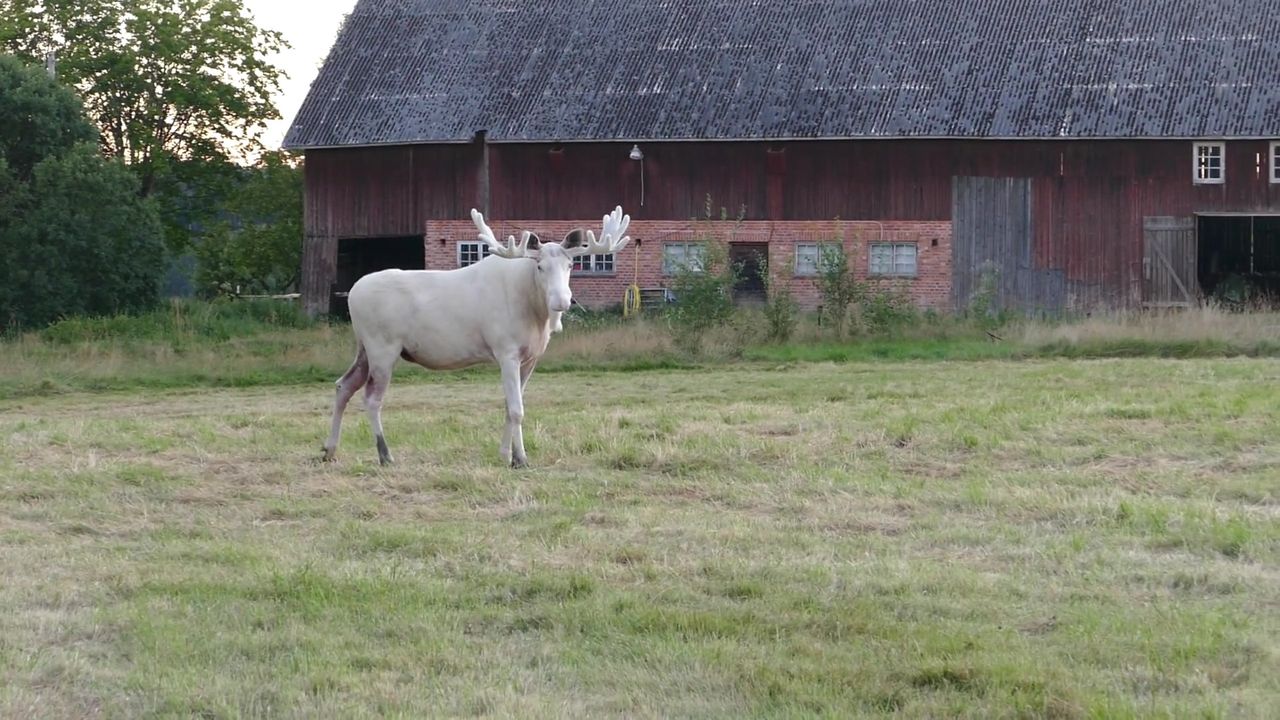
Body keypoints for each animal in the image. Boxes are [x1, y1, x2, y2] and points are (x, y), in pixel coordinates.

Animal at [322, 204, 632, 468]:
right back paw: (385, 455)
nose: (562, 301)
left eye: (570, 266)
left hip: (364, 348)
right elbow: (517, 409)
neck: (535, 313)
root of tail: (352, 294)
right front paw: (521, 458)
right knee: (371, 398)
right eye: (540, 267)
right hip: (382, 347)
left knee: (343, 385)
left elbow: (510, 405)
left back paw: (329, 449)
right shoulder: (505, 351)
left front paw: (506, 454)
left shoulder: (531, 358)